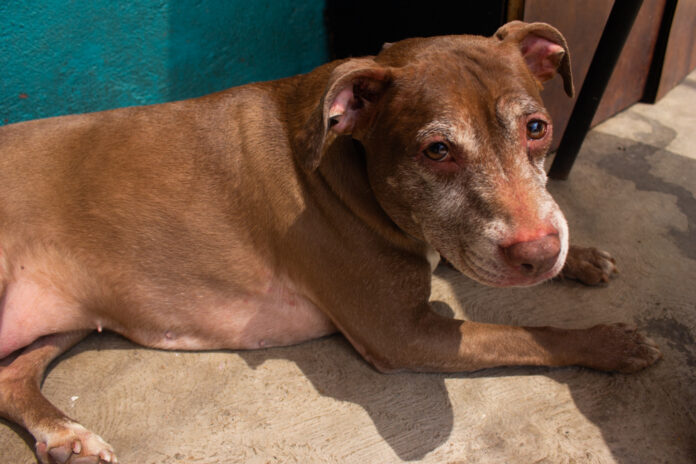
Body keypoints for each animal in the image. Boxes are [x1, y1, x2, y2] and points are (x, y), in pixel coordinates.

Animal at [0, 21, 660, 464]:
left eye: (537, 128)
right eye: (437, 150)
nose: (538, 254)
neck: (348, 157)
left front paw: (581, 256)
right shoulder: (401, 331)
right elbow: (526, 335)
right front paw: (608, 342)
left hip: (72, 314)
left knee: (12, 379)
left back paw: (65, 435)